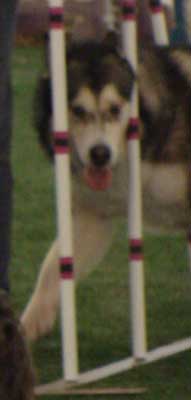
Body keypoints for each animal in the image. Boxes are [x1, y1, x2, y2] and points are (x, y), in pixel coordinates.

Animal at [20, 33, 190, 340]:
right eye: (77, 110)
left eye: (115, 109)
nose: (100, 154)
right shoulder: (93, 217)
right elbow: (51, 270)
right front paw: (25, 329)